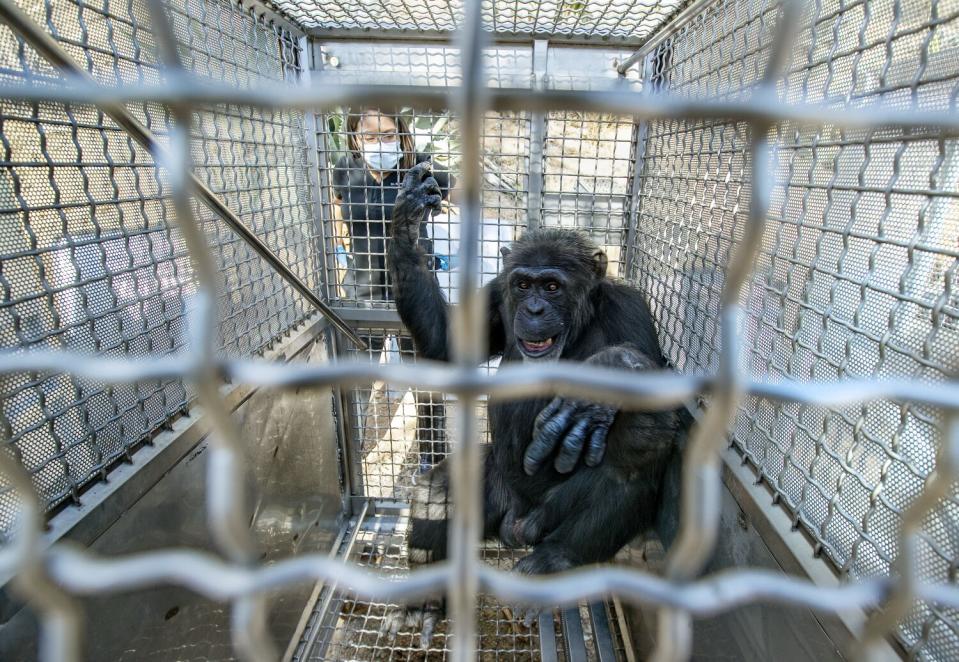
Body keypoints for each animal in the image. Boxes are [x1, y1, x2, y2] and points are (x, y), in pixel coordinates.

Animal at [386, 163, 688, 644]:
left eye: (551, 286)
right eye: (524, 284)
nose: (533, 309)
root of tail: (516, 527)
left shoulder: (631, 309)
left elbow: (658, 384)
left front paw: (606, 373)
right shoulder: (496, 292)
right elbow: (448, 344)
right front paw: (409, 221)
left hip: (550, 518)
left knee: (643, 436)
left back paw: (550, 564)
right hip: (495, 490)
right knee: (439, 491)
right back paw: (425, 599)